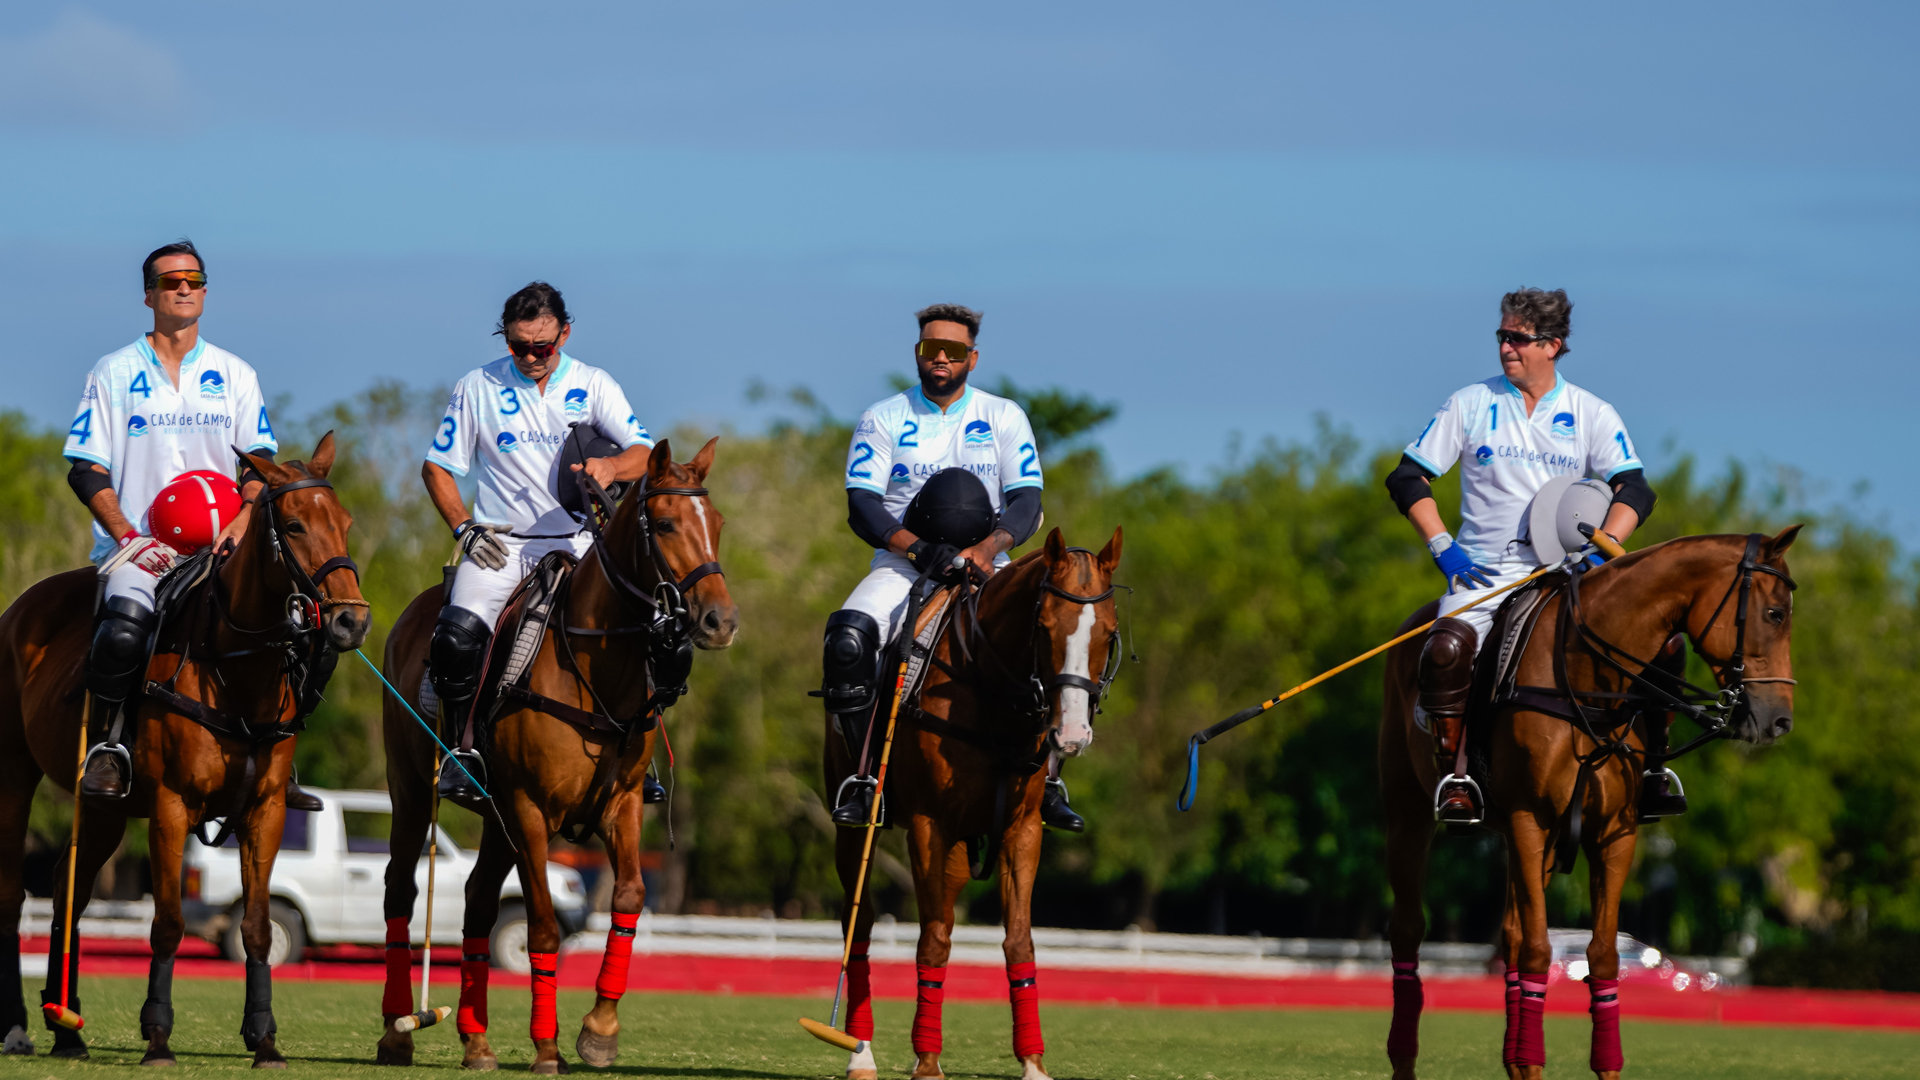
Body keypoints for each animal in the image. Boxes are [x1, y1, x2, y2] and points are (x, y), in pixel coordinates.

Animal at [0, 432, 366, 1060]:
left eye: (343, 522)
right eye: (294, 526)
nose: (350, 622)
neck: (237, 668)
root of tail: (20, 606)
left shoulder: (265, 810)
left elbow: (258, 926)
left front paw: (264, 1039)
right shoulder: (172, 804)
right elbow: (168, 922)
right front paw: (157, 1036)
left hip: (105, 807)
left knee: (68, 889)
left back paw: (66, 1026)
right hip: (13, 769)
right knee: (12, 891)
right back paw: (19, 1026)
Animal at [374, 434, 733, 1068]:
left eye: (716, 523)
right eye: (665, 523)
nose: (720, 621)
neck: (598, 665)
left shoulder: (622, 803)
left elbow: (630, 896)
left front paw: (599, 1030)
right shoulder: (530, 807)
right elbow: (541, 924)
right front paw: (547, 1046)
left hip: (494, 814)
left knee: (477, 899)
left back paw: (476, 1041)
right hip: (414, 787)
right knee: (402, 886)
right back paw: (398, 1030)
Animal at [829, 526, 1121, 1076]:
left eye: (1109, 634)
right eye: (1043, 627)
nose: (1072, 734)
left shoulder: (1022, 830)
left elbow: (1019, 940)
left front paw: (1033, 1061)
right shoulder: (930, 825)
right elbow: (933, 939)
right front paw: (927, 1061)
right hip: (853, 827)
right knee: (859, 924)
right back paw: (860, 1050)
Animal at [1382, 526, 1797, 1068]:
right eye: (1775, 614)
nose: (1779, 720)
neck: (1587, 683)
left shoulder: (1613, 832)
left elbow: (1601, 955)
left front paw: (1593, 1064)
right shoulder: (1528, 817)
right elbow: (1540, 950)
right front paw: (1532, 1061)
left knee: (1510, 934)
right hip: (1408, 804)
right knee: (1410, 928)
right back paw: (1404, 1053)